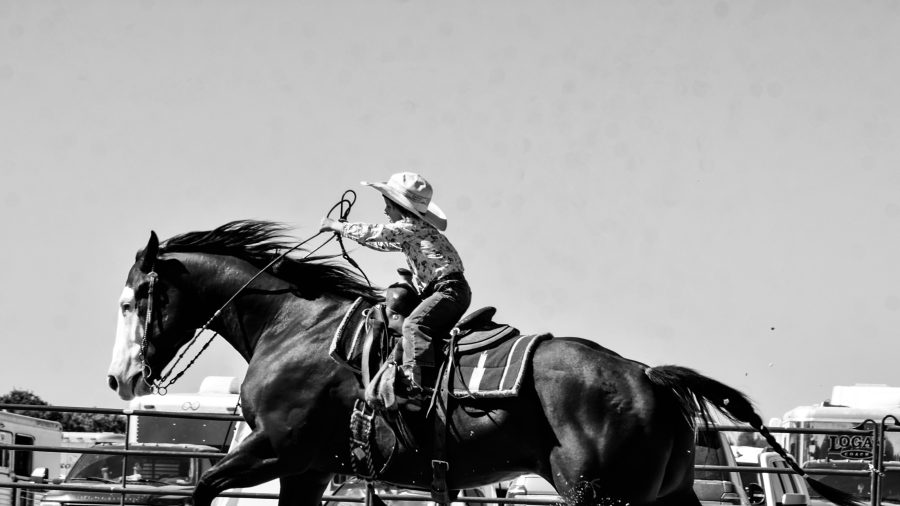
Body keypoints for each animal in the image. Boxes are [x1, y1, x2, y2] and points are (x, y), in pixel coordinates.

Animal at [106, 220, 857, 506]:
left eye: (133, 298)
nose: (121, 378)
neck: (297, 329)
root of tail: (646, 376)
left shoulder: (277, 446)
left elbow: (201, 487)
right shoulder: (310, 467)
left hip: (602, 495)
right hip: (667, 494)